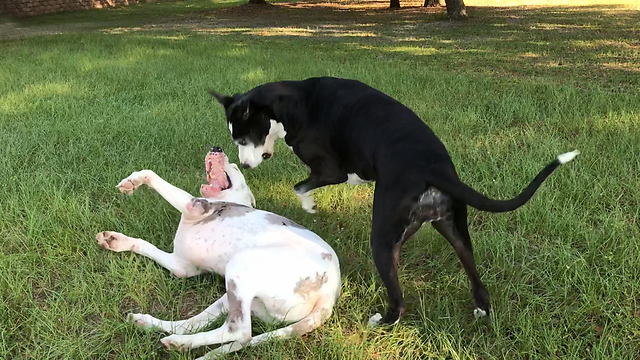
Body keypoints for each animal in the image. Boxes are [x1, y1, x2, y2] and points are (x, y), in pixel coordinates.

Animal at [95, 148, 340, 358]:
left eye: (236, 167)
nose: (217, 148)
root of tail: (329, 295)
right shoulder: (181, 267)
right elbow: (144, 245)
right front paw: (117, 241)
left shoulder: (194, 205)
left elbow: (151, 174)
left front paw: (134, 180)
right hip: (236, 296)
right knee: (194, 325)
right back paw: (162, 332)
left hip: (240, 265)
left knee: (239, 332)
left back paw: (180, 341)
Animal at [210, 76, 580, 326]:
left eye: (243, 138)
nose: (244, 165)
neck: (295, 101)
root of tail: (434, 170)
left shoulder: (330, 170)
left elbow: (300, 187)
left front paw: (309, 206)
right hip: (454, 230)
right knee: (475, 277)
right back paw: (481, 309)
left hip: (383, 239)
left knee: (399, 300)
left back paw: (383, 320)